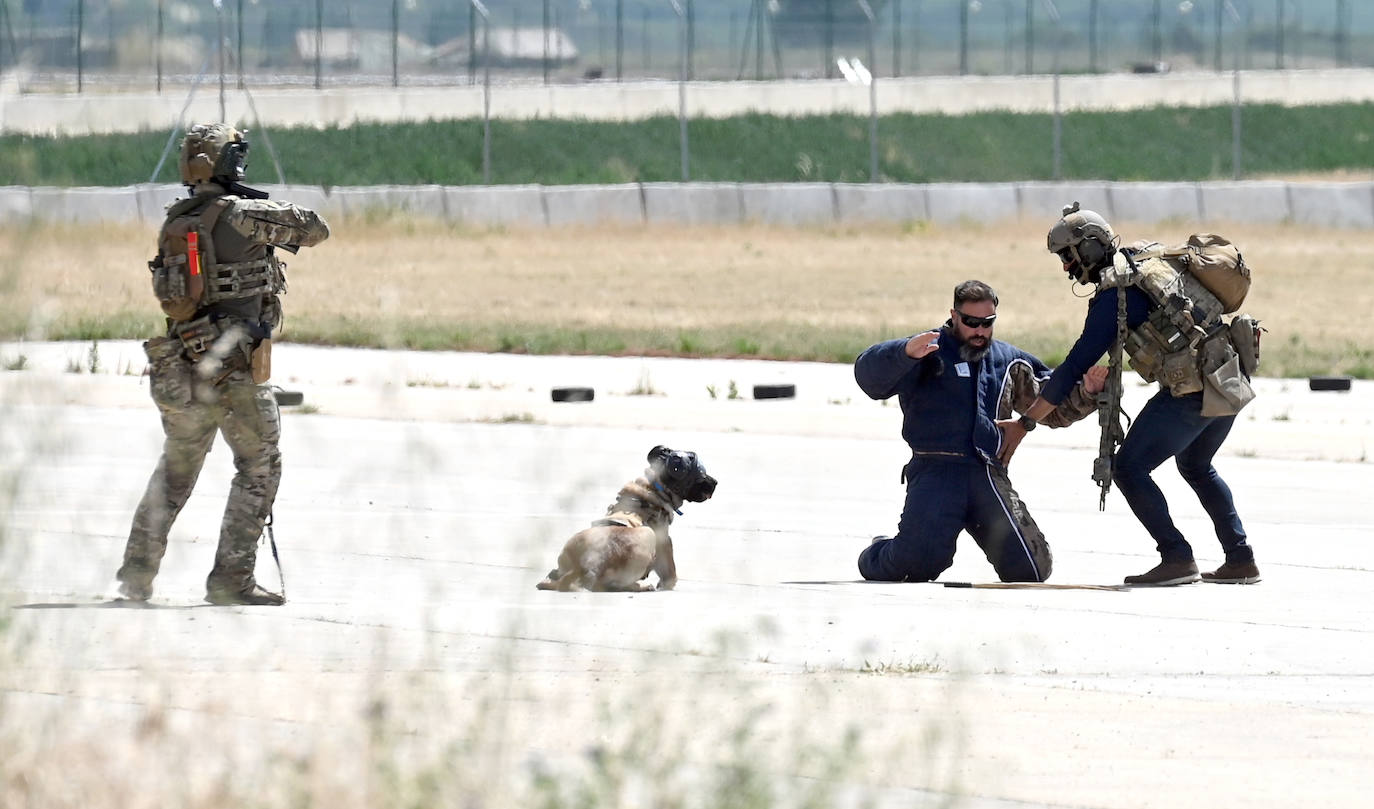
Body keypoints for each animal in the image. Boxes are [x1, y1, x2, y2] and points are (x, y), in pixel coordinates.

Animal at [533, 445, 714, 590]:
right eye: (702, 474)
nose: (716, 482)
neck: (654, 485)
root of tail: (585, 566)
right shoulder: (664, 540)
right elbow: (671, 572)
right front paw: (667, 584)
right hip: (647, 533)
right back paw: (641, 586)